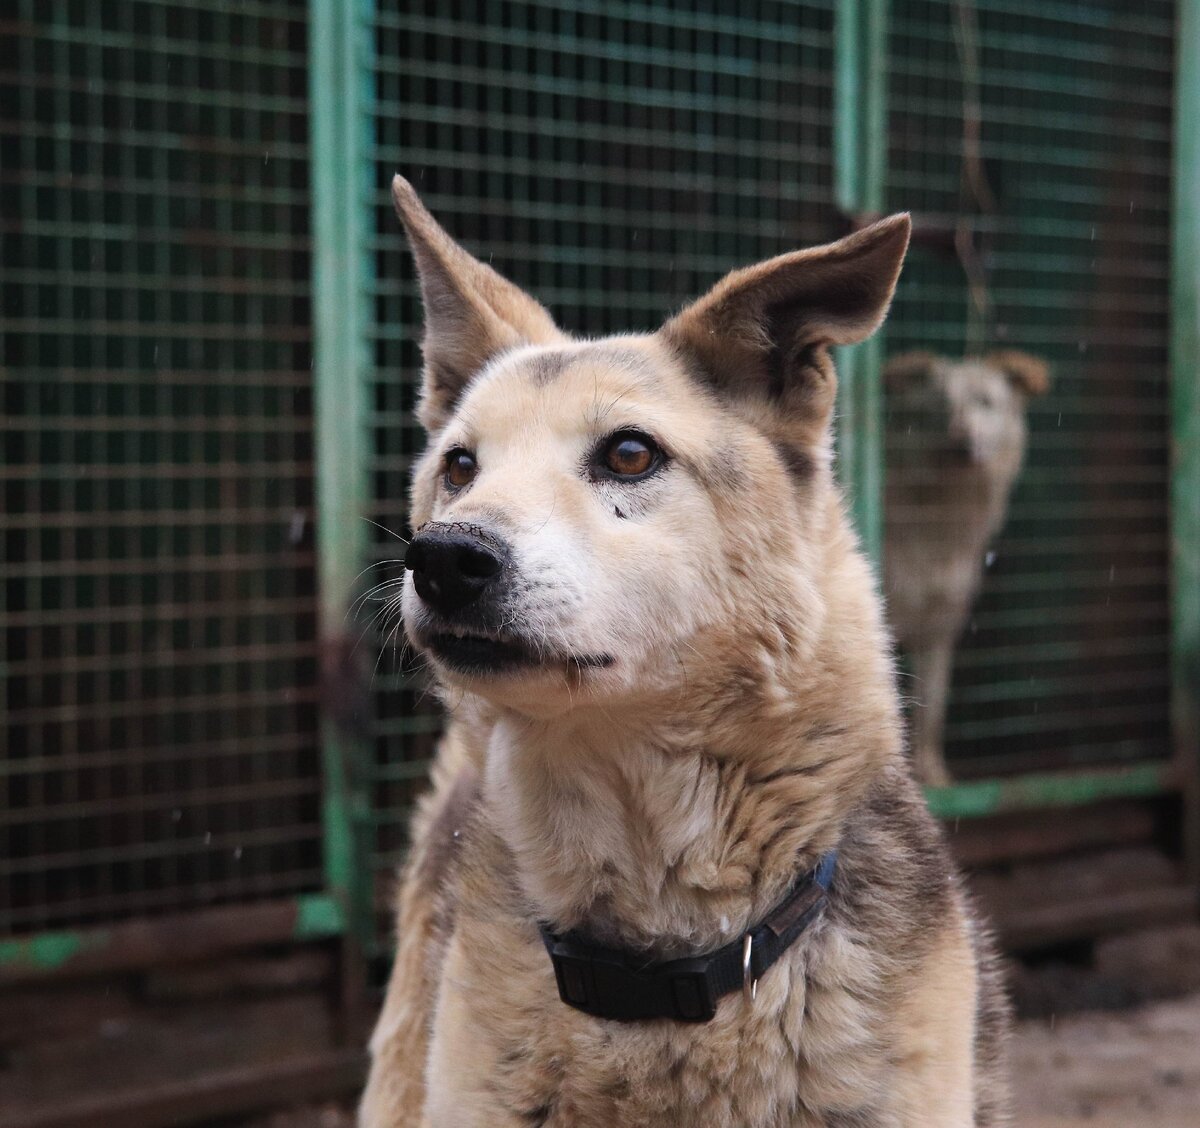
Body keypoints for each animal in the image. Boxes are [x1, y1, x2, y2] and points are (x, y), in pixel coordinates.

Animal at [883, 350, 1051, 782]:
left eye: (986, 403)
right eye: (938, 407)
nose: (960, 441)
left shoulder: (941, 626)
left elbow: (932, 708)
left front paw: (931, 774)